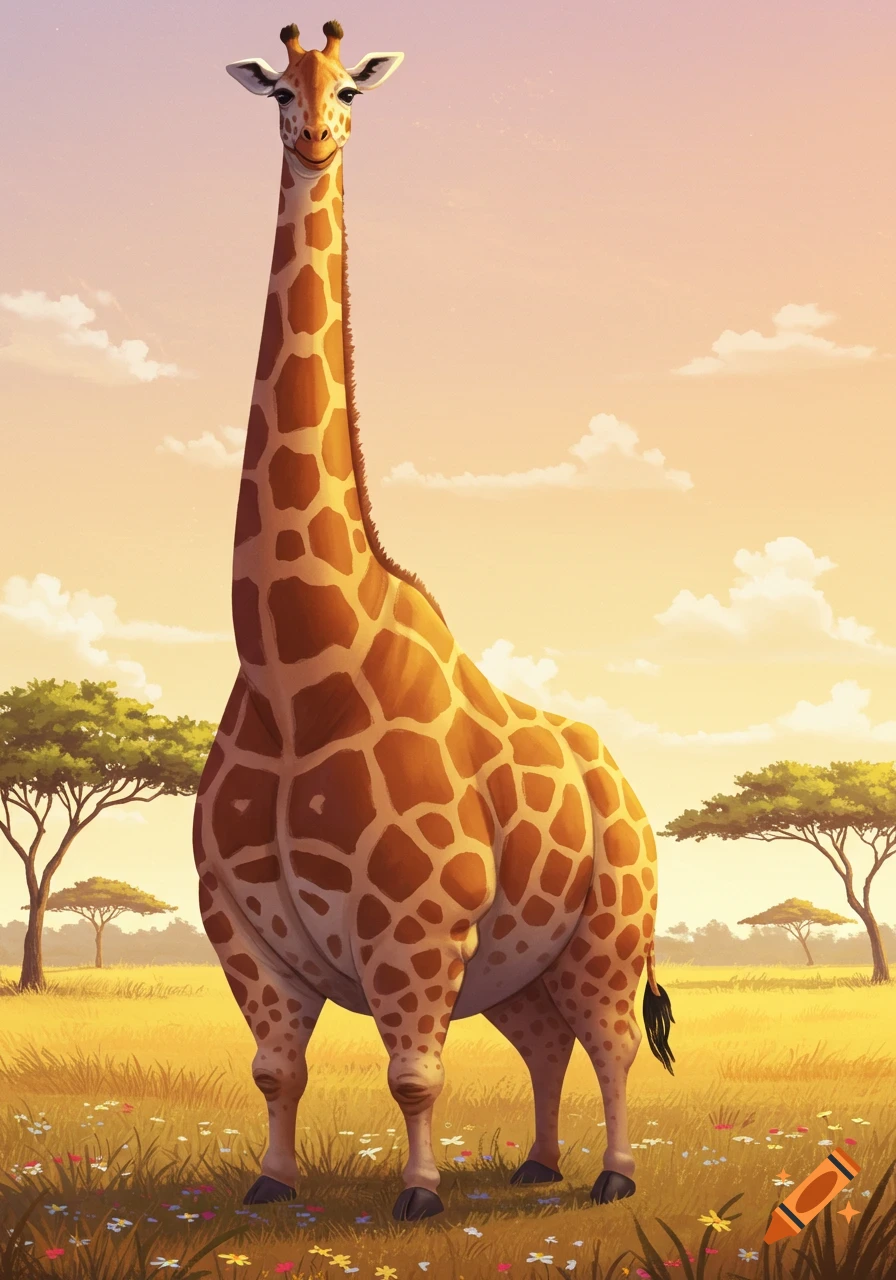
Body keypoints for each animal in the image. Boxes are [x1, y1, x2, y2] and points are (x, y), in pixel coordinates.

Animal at [193, 19, 675, 1223]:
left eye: (351, 85)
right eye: (277, 86)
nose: (316, 134)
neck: (291, 665)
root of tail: (629, 788)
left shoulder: (413, 917)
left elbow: (412, 1074)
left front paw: (417, 1195)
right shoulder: (240, 923)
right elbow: (277, 1069)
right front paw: (269, 1184)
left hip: (610, 928)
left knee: (609, 1043)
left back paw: (610, 1176)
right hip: (519, 959)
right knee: (545, 1041)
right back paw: (540, 1161)